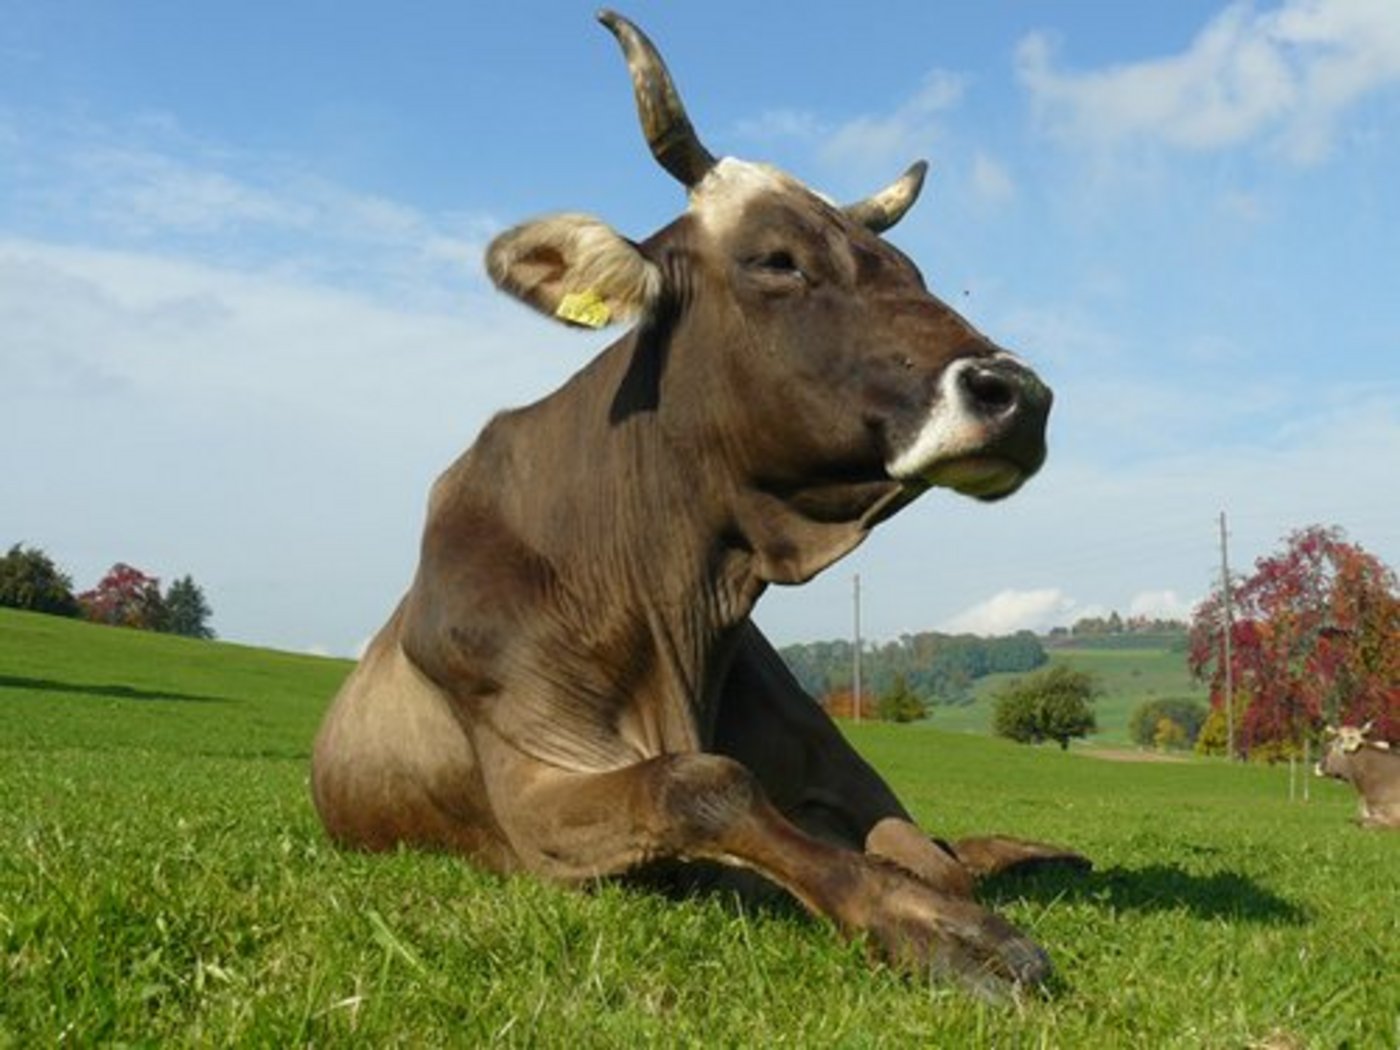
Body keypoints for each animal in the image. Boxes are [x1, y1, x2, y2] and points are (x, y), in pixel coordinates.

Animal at [311, 11, 1087, 999]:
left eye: (911, 270)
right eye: (778, 261)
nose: (1018, 395)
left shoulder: (841, 767)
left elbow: (921, 849)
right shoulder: (537, 788)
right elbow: (704, 785)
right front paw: (946, 932)